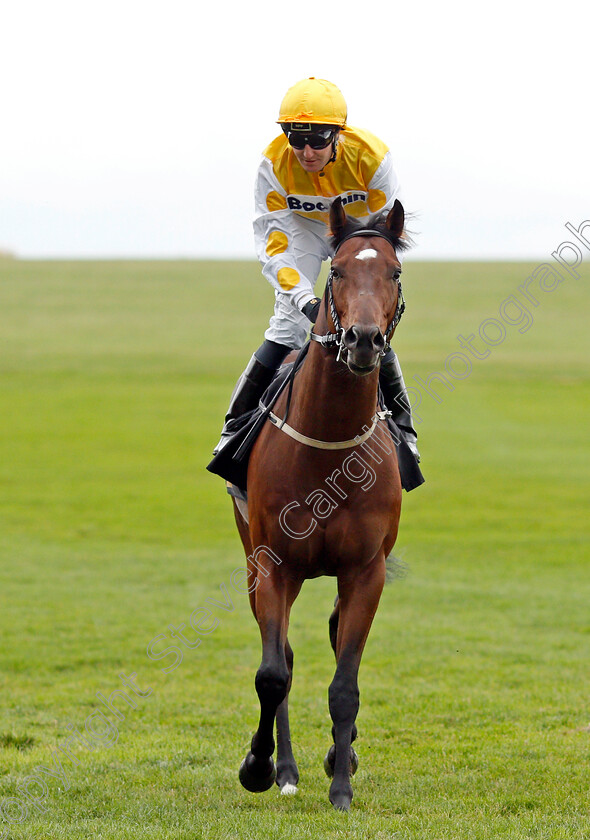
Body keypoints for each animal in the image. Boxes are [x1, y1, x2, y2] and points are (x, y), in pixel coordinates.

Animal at [232, 195, 412, 808]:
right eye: (336, 272)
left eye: (394, 272)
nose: (362, 340)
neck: (328, 447)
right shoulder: (273, 565)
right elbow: (272, 674)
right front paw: (260, 766)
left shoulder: (365, 569)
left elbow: (345, 680)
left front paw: (341, 782)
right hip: (250, 558)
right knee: (282, 659)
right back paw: (284, 768)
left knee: (334, 636)